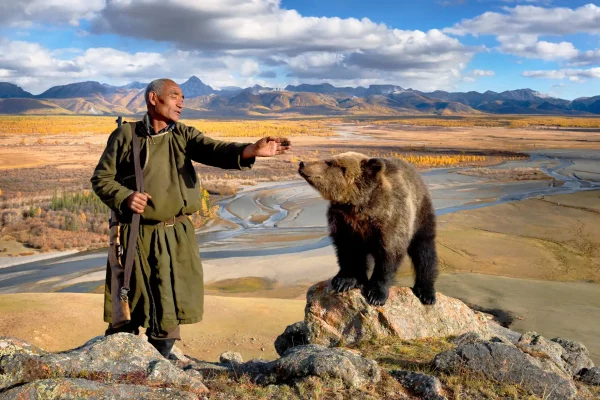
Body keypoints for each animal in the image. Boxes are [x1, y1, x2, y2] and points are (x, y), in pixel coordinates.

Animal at [298, 151, 436, 306]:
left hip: (420, 215)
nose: (302, 163)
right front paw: (344, 280)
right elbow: (347, 251)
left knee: (424, 251)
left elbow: (388, 256)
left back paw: (426, 292)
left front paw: (376, 294)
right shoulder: (343, 222)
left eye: (329, 162)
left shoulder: (390, 220)